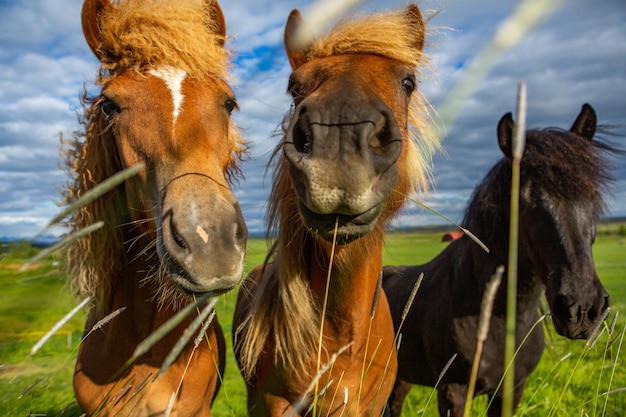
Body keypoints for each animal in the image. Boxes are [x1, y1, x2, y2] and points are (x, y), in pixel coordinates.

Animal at [382, 104, 612, 416]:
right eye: (524, 200)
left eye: (593, 197)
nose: (584, 308)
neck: (501, 320)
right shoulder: (454, 391)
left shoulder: (511, 391)